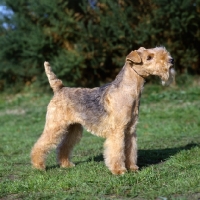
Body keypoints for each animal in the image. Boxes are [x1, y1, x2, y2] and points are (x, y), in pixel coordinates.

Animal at [30, 46, 174, 173]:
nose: (171, 60)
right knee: (40, 145)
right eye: (149, 57)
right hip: (54, 125)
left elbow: (130, 150)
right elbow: (117, 151)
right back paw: (39, 166)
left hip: (73, 128)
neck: (129, 91)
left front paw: (132, 168)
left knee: (63, 146)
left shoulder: (130, 129)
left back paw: (66, 164)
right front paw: (119, 170)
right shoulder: (117, 130)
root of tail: (60, 88)